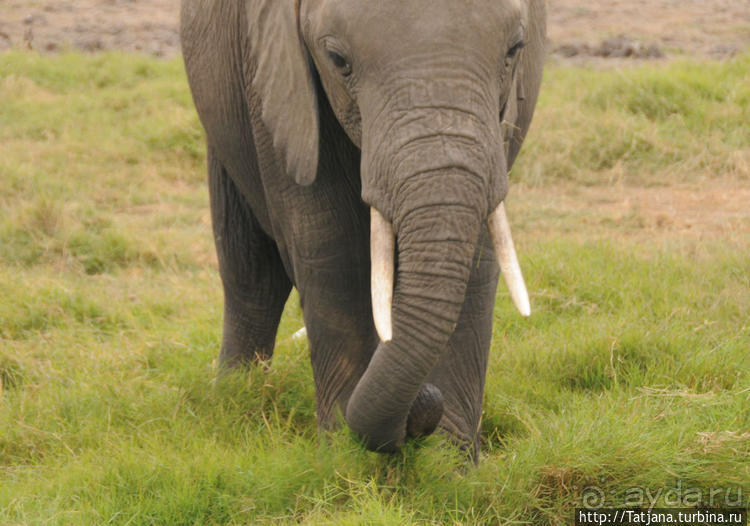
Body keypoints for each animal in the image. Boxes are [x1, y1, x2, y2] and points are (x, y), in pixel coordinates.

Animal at [181, 0, 548, 458]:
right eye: (338, 60)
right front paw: (345, 455)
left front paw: (449, 463)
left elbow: (478, 260)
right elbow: (332, 250)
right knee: (250, 272)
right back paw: (235, 398)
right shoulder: (275, 83)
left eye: (515, 49)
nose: (421, 408)